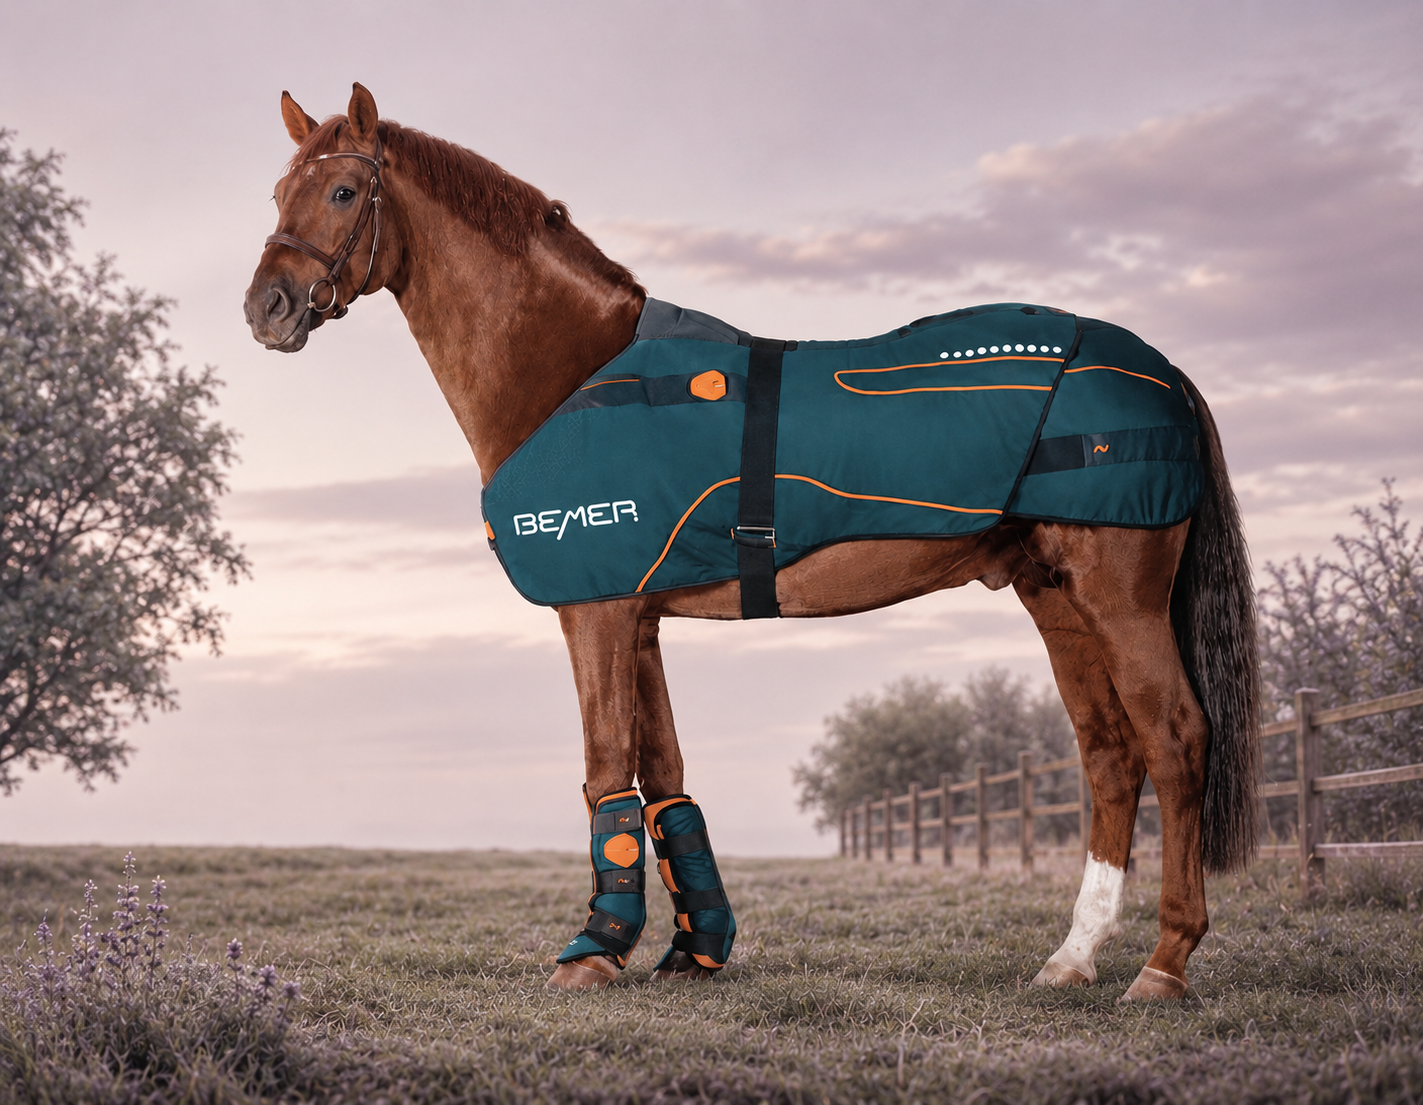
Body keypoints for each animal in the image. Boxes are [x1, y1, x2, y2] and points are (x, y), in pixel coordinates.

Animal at [244, 83, 1260, 999]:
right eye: (279, 191)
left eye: (344, 192)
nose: (268, 308)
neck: (571, 371)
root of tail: (1162, 369)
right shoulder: (640, 617)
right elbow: (664, 782)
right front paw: (697, 946)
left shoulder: (595, 607)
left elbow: (606, 771)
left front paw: (596, 948)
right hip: (1054, 592)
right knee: (1108, 754)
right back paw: (1072, 957)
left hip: (1119, 594)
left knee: (1173, 738)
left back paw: (1164, 965)